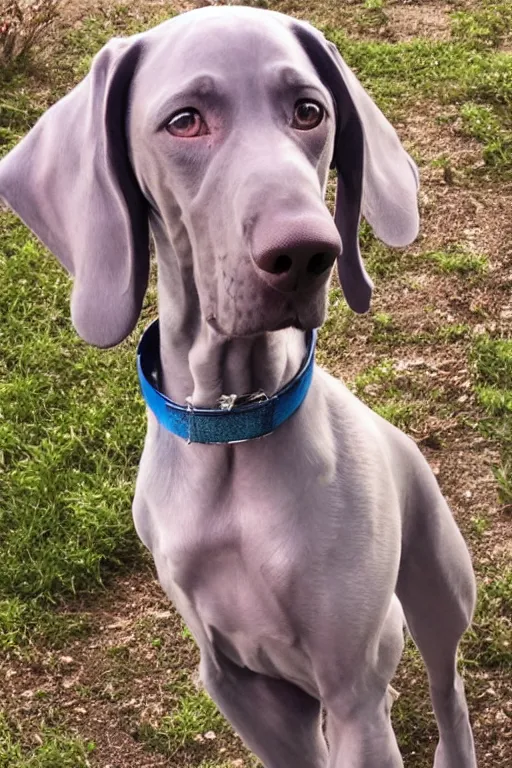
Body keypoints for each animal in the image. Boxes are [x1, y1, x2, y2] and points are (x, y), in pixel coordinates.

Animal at [1, 7, 480, 768]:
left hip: (438, 586)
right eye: (184, 121)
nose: (309, 252)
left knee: (447, 684)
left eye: (310, 111)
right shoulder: (238, 681)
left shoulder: (353, 689)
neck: (236, 420)